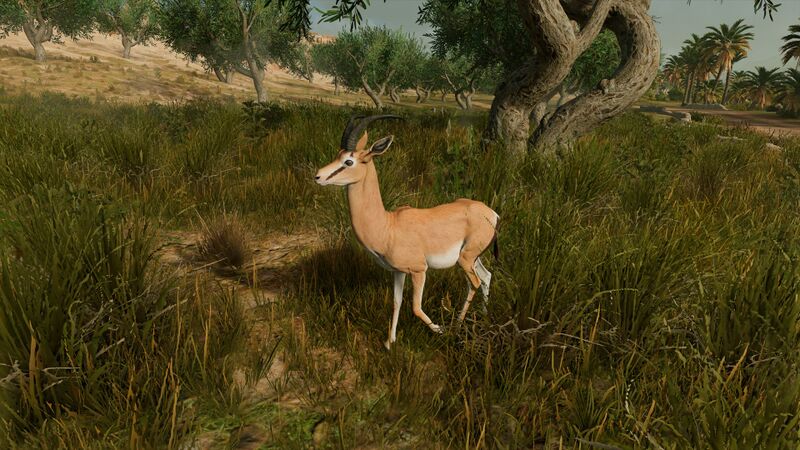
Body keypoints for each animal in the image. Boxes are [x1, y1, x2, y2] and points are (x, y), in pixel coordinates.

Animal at [314, 115, 499, 350]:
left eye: (349, 161)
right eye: (338, 154)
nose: (318, 176)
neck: (388, 227)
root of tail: (492, 213)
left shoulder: (419, 270)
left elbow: (415, 307)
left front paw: (440, 330)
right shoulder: (398, 271)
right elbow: (396, 302)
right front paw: (389, 342)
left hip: (465, 259)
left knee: (474, 283)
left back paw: (456, 328)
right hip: (473, 258)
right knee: (486, 277)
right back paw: (483, 316)